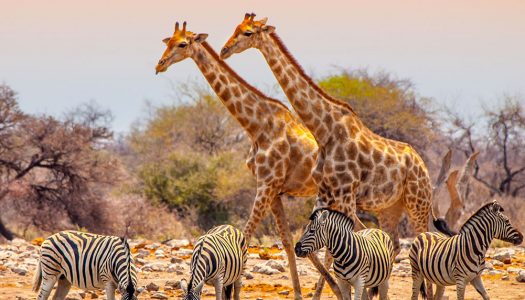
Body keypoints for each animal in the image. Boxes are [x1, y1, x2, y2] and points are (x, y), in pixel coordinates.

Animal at [154, 21, 342, 300]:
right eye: (167, 42)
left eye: (183, 44)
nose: (160, 64)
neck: (257, 125)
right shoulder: (273, 190)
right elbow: (286, 240)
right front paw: (298, 294)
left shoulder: (266, 185)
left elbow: (246, 237)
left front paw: (234, 292)